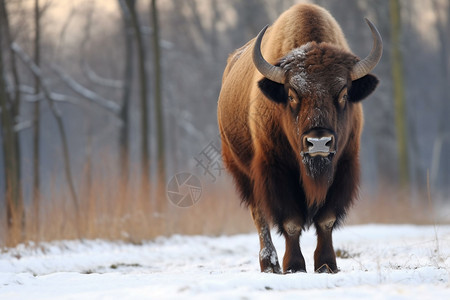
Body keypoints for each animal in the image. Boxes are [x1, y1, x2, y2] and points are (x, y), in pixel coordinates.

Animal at [216, 2, 382, 274]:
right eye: (292, 95)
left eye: (343, 93)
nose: (319, 143)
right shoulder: (275, 170)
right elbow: (290, 221)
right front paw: (294, 266)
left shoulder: (344, 166)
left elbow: (326, 220)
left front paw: (327, 264)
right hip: (243, 172)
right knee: (259, 214)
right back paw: (269, 264)